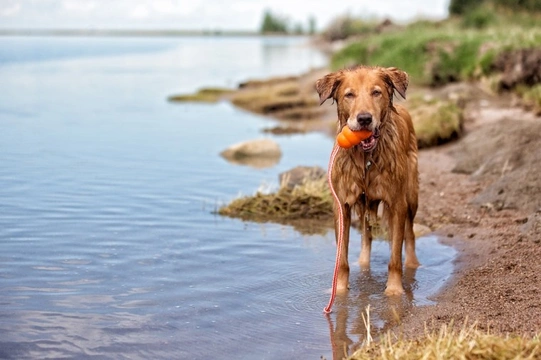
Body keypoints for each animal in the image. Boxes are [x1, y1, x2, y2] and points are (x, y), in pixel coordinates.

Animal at [314, 66, 420, 296]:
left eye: (376, 92)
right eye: (349, 95)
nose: (364, 119)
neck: (365, 160)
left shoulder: (397, 203)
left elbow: (395, 256)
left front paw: (394, 290)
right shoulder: (342, 205)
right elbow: (342, 259)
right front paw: (340, 290)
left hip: (411, 194)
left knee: (410, 233)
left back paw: (413, 264)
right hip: (364, 202)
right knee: (366, 234)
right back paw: (363, 263)